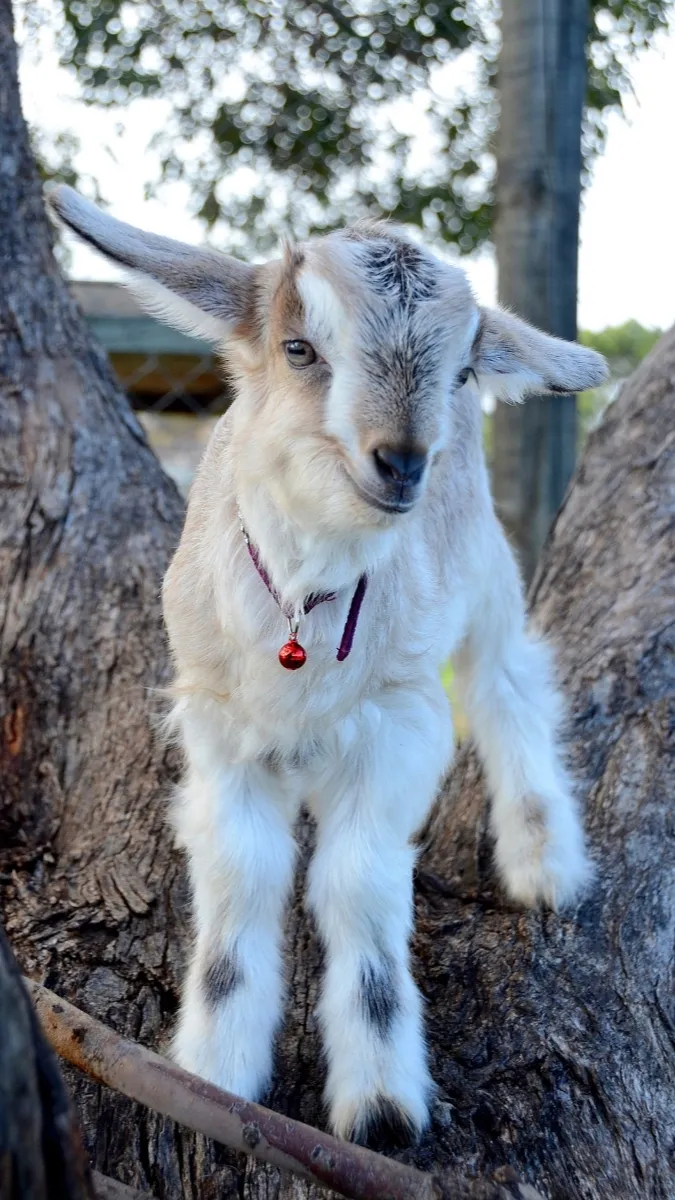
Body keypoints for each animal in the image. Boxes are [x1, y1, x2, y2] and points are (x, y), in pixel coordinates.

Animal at [49, 185, 607, 1144]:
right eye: (298, 349)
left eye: (460, 374)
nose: (402, 461)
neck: (304, 608)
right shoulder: (216, 724)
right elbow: (242, 873)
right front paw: (215, 1071)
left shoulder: (401, 719)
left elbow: (354, 883)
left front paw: (380, 1104)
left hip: (484, 568)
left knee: (507, 686)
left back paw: (543, 863)